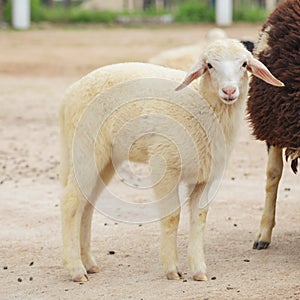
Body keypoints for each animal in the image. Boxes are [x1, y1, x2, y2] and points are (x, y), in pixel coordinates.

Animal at [59, 38, 284, 282]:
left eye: (244, 64)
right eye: (210, 65)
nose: (229, 91)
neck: (201, 104)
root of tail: (69, 94)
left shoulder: (206, 175)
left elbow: (199, 218)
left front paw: (199, 270)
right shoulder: (165, 164)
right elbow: (172, 217)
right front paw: (172, 269)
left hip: (106, 160)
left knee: (86, 206)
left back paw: (89, 263)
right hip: (84, 149)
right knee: (71, 203)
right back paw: (76, 270)